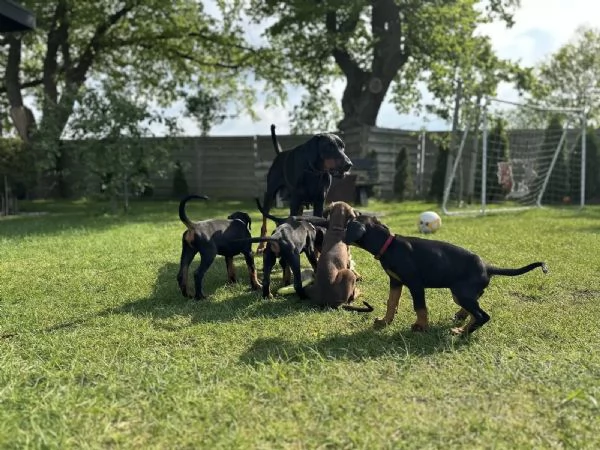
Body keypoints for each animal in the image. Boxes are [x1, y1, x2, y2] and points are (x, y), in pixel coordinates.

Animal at [256, 124, 352, 253]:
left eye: (343, 147)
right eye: (329, 147)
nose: (349, 164)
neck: (313, 172)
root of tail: (280, 154)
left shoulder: (319, 201)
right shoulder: (295, 201)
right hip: (270, 194)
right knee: (264, 220)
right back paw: (261, 246)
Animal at [342, 214, 548, 334]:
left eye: (347, 225)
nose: (338, 233)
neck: (389, 245)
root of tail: (487, 267)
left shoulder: (416, 285)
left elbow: (420, 307)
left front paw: (421, 326)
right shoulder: (395, 281)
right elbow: (391, 302)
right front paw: (385, 321)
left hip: (461, 292)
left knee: (483, 315)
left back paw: (462, 333)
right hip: (461, 294)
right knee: (475, 310)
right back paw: (462, 319)